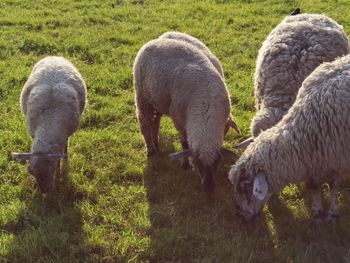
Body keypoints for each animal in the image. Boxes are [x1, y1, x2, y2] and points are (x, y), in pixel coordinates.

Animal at [11, 56, 87, 194]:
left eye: (51, 170)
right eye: (32, 173)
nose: (45, 191)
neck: (49, 124)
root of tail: (54, 56)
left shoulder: (66, 135)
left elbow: (63, 152)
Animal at [133, 37, 238, 192]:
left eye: (216, 162)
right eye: (197, 162)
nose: (208, 188)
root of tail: (153, 41)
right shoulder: (179, 120)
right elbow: (184, 144)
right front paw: (185, 165)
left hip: (158, 99)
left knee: (155, 121)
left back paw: (156, 142)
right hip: (142, 96)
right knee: (144, 122)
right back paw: (150, 150)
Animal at [228, 53, 350, 223]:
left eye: (246, 186)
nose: (240, 215)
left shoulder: (338, 159)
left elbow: (333, 186)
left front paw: (332, 213)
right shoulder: (317, 164)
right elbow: (315, 186)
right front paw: (317, 211)